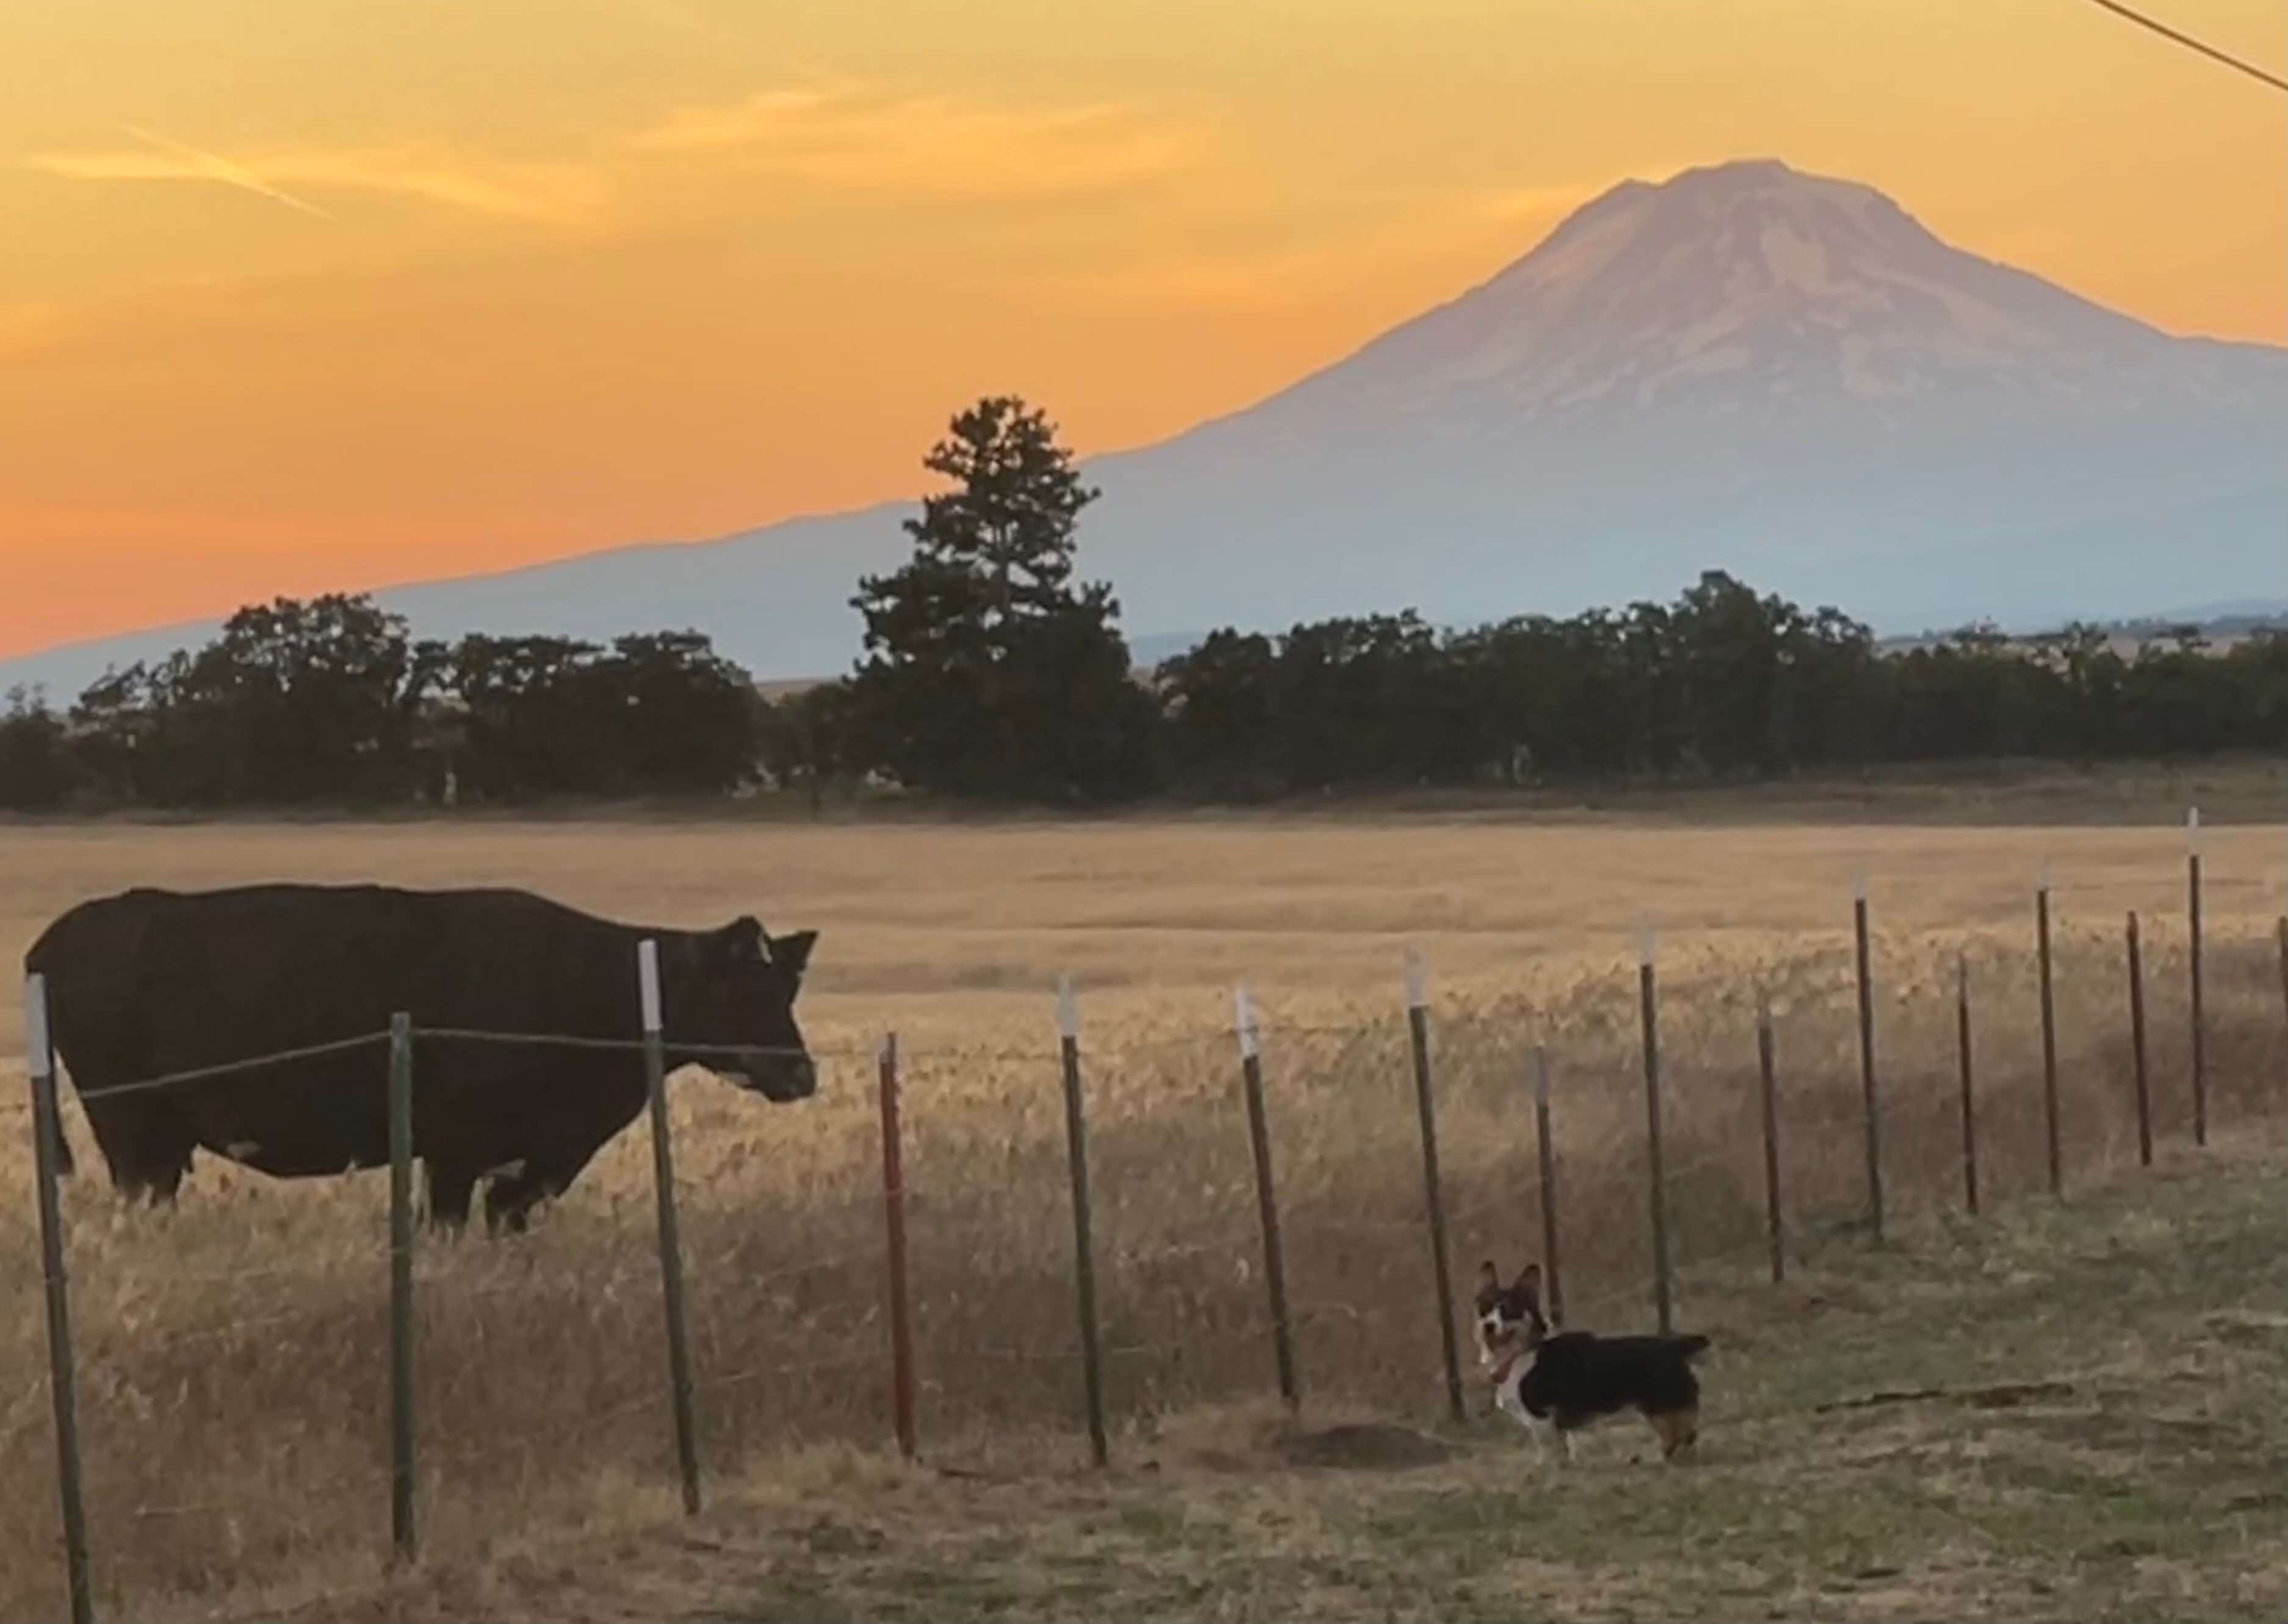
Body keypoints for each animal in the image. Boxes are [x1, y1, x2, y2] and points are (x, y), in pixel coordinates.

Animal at [24, 883, 820, 1233]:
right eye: (739, 987)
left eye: (787, 983)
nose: (800, 1072)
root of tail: (61, 936)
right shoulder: (456, 1152)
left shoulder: (537, 1161)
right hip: (131, 1128)